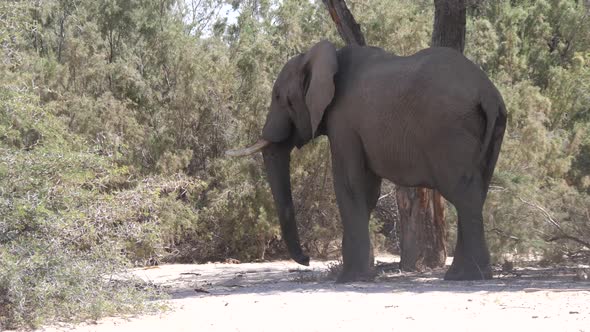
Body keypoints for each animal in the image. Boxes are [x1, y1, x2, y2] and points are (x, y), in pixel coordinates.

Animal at [228, 39, 508, 282]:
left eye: (278, 98)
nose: (307, 259)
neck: (326, 57)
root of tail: (488, 94)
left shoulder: (343, 121)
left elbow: (350, 185)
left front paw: (349, 279)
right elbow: (368, 191)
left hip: (448, 130)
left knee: (463, 193)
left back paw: (470, 276)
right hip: (492, 128)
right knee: (477, 191)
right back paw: (462, 275)